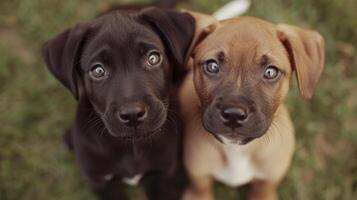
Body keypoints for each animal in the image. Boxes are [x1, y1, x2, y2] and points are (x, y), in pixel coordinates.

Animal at [179, 14, 324, 200]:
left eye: (270, 72)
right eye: (212, 66)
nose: (234, 115)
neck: (236, 151)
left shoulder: (265, 188)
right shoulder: (198, 189)